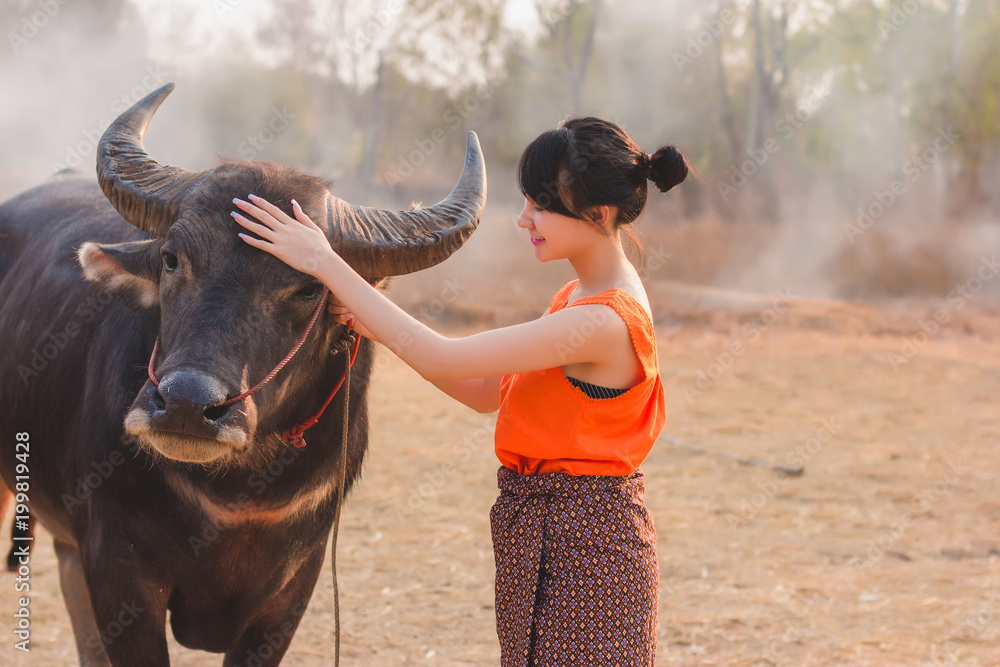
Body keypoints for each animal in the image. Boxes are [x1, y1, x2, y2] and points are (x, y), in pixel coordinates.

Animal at [0, 85, 486, 667]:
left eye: (309, 287)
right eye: (171, 258)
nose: (187, 405)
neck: (236, 497)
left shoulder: (290, 593)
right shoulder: (119, 575)